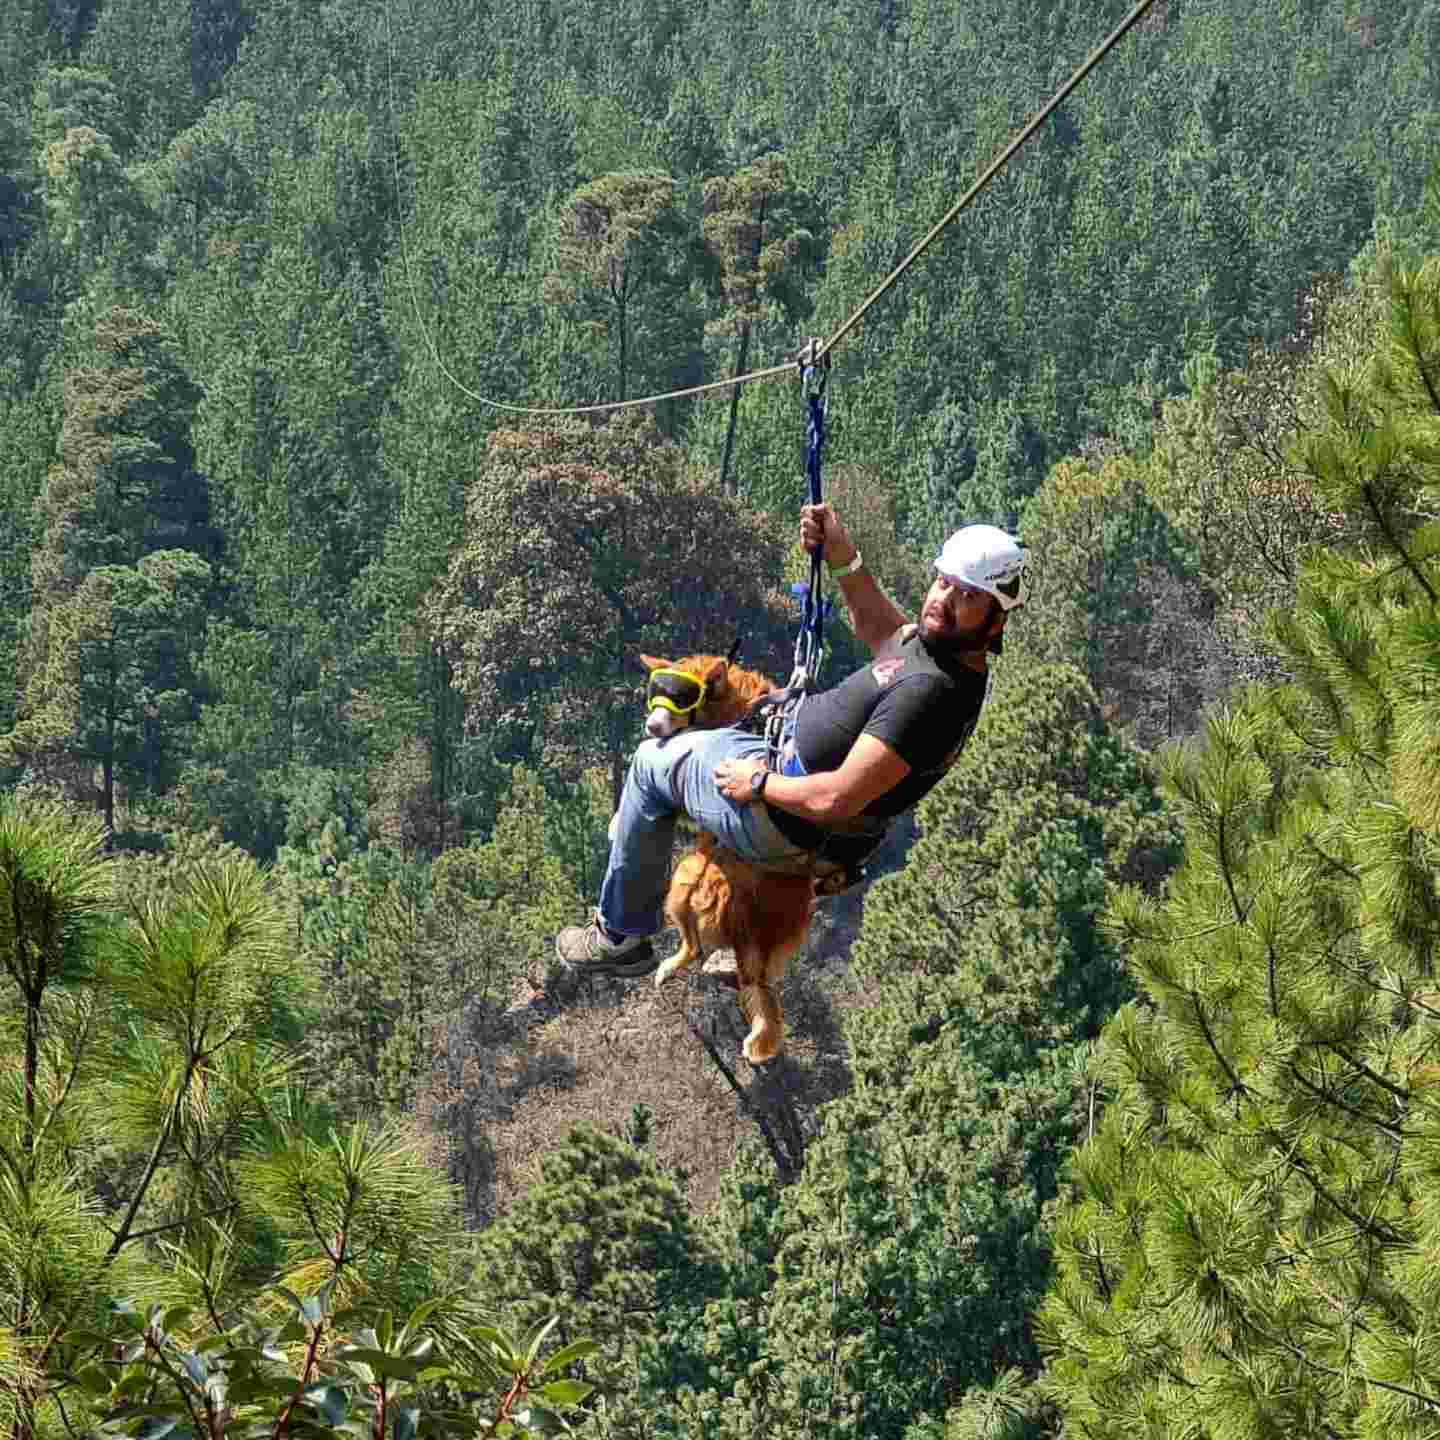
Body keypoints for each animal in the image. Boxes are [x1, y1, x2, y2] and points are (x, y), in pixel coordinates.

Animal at [636, 659, 817, 1065]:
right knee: (713, 958)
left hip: (685, 876)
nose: (652, 727)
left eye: (680, 699)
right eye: (656, 692)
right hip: (692, 886)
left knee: (694, 947)